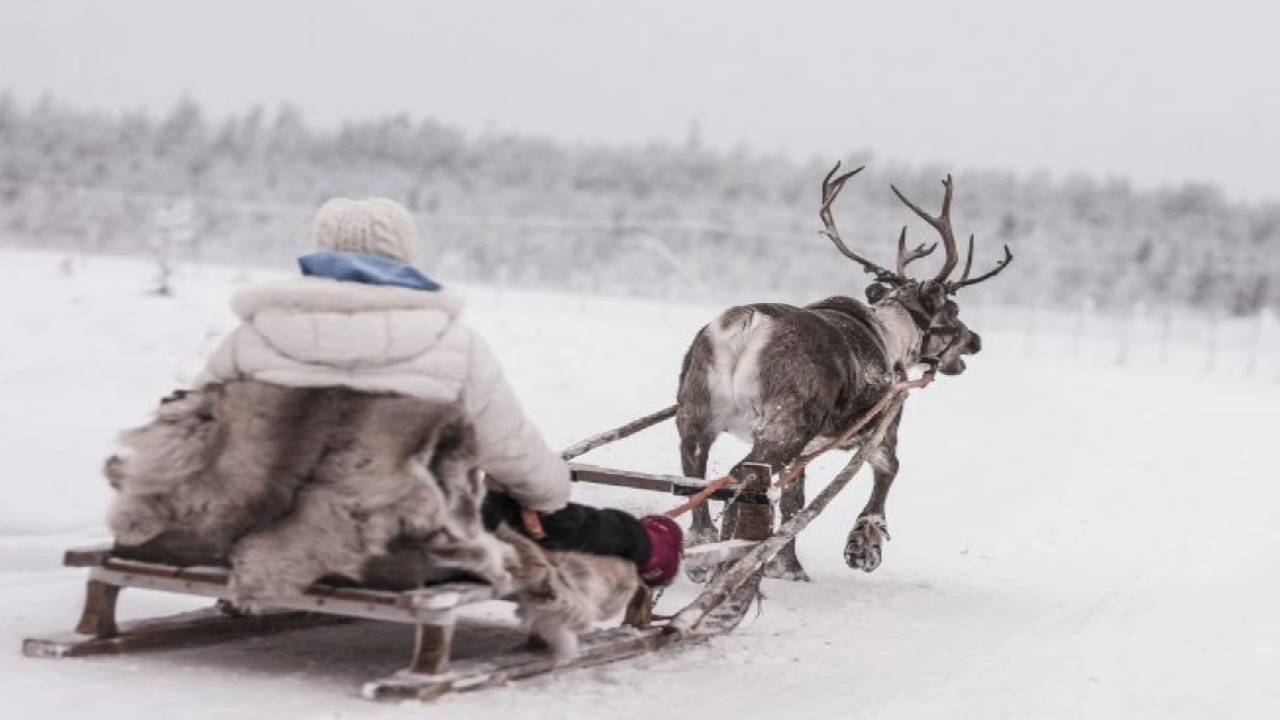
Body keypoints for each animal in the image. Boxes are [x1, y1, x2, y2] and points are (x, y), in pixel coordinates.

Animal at [675, 163, 1013, 581]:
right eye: (953, 311)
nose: (976, 340)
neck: (898, 331)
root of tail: (745, 324)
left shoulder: (806, 451)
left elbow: (794, 500)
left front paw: (788, 568)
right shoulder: (882, 425)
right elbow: (888, 472)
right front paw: (864, 547)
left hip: (696, 409)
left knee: (694, 474)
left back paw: (706, 550)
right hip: (785, 425)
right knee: (741, 478)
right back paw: (731, 558)